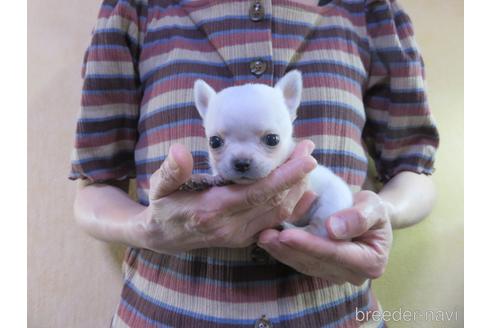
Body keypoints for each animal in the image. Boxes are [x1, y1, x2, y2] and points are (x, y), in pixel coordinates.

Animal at [189, 70, 354, 237]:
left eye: (272, 139)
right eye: (214, 142)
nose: (242, 163)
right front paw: (209, 179)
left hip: (332, 205)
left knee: (318, 230)